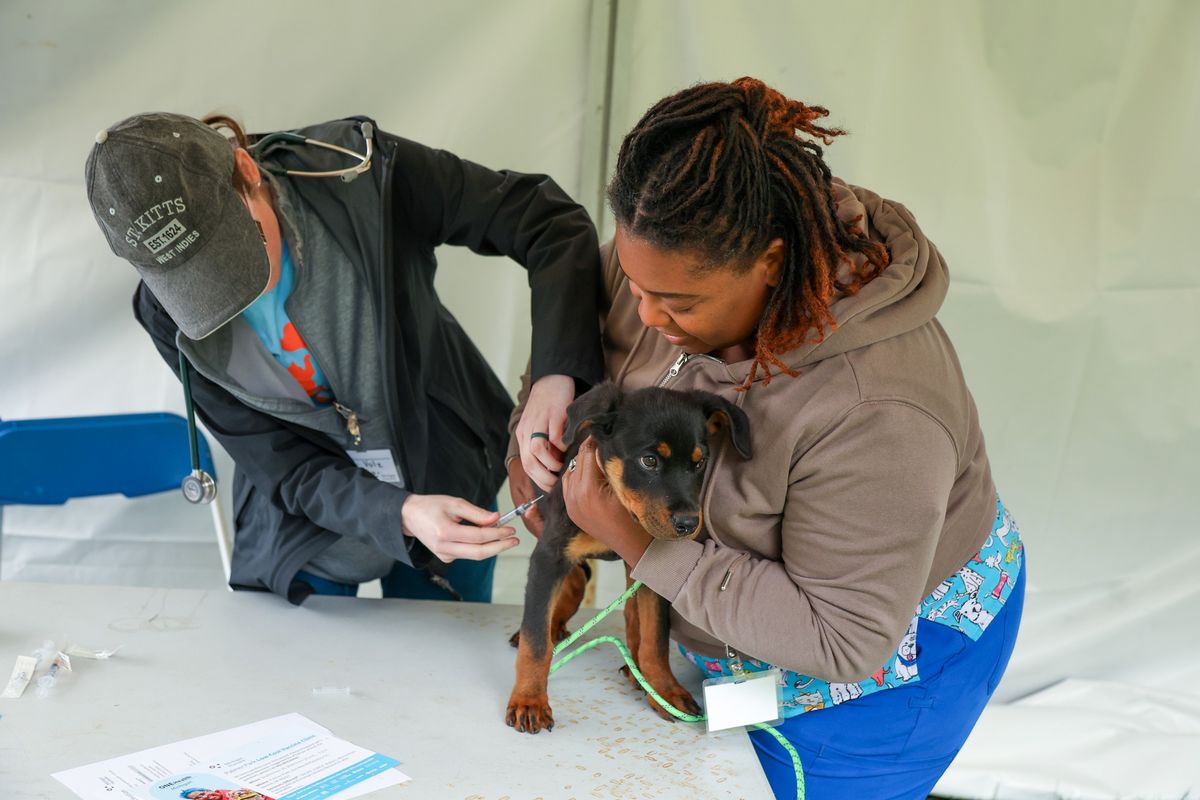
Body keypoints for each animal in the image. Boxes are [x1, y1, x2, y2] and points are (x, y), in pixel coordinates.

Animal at [504, 381, 748, 734]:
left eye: (700, 462)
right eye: (649, 461)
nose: (689, 525)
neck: (618, 503)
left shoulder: (650, 566)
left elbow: (655, 638)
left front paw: (663, 690)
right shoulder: (549, 555)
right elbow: (535, 640)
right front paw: (529, 700)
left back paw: (635, 669)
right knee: (575, 583)